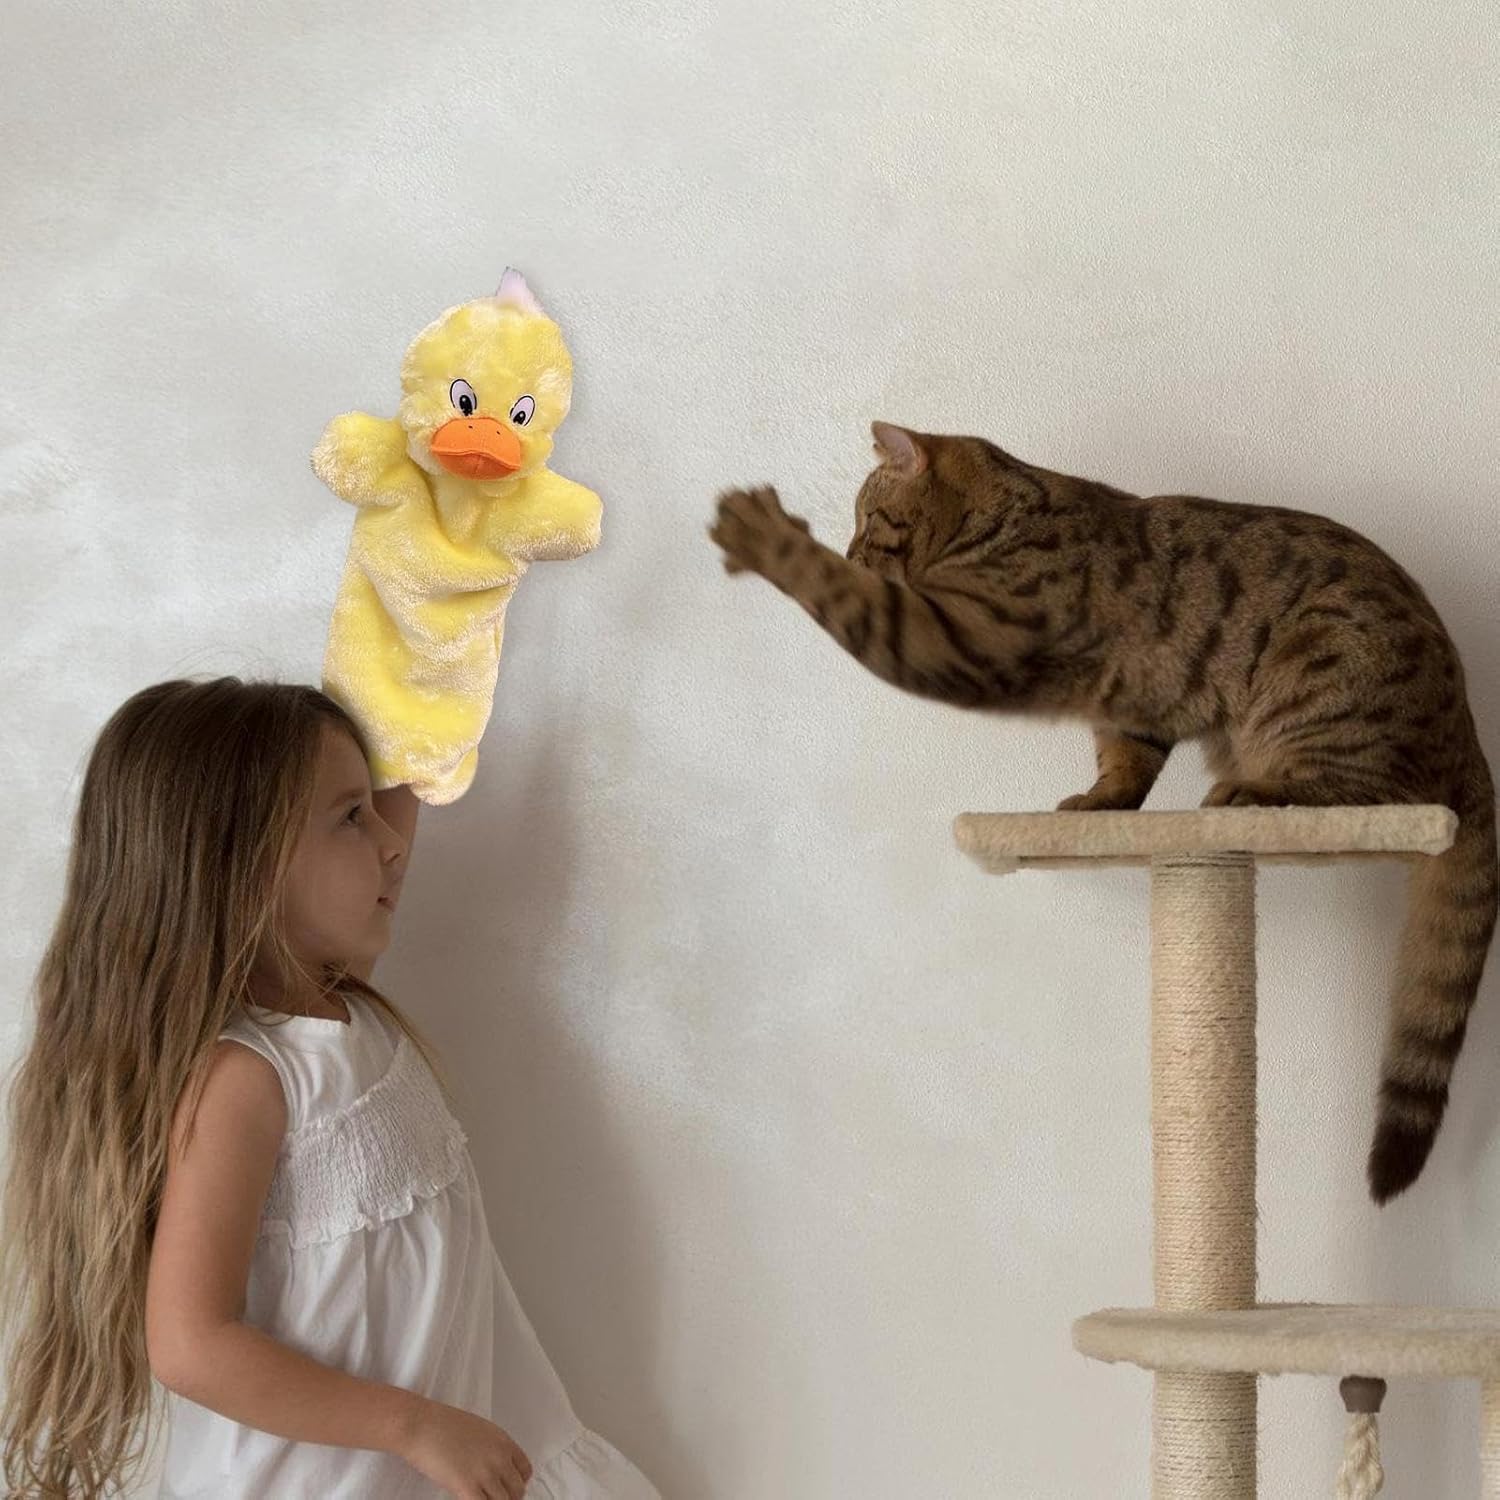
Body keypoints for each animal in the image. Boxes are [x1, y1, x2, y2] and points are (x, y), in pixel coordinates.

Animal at [708, 421, 1498, 1205]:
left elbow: (843, 595)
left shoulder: (964, 636)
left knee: (1367, 790)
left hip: (1321, 696)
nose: (850, 548)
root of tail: (1471, 733)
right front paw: (1098, 803)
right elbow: (1122, 766)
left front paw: (765, 535)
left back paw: (1253, 792)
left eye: (869, 518)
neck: (1010, 514)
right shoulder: (1131, 704)